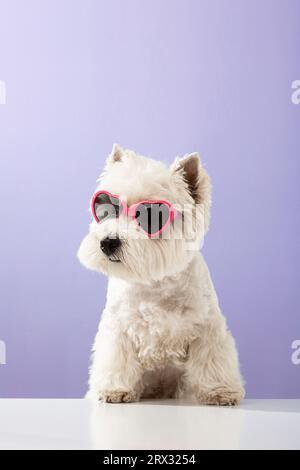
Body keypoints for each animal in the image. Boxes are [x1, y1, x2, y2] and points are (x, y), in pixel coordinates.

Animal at [78, 144, 245, 404]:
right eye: (106, 210)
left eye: (151, 217)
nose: (108, 242)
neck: (154, 284)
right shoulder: (118, 330)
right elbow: (117, 360)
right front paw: (115, 389)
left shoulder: (208, 328)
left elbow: (211, 360)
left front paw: (219, 391)